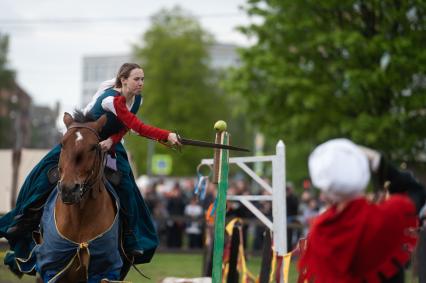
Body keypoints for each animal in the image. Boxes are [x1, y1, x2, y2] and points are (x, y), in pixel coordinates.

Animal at [34, 112, 127, 282]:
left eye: (94, 147)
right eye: (62, 144)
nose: (69, 190)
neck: (80, 217)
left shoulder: (104, 272)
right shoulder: (51, 270)